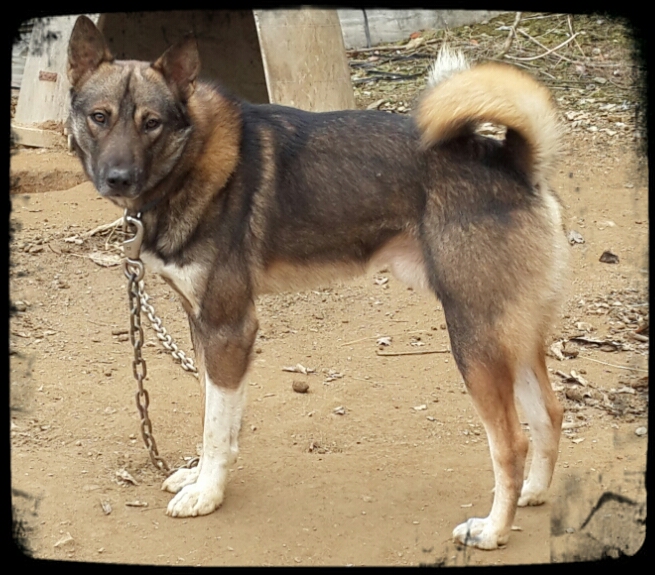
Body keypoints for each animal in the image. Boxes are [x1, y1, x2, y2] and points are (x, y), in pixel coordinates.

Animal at [67, 15, 568, 550]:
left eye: (151, 122)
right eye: (99, 117)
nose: (118, 178)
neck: (191, 157)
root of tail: (512, 163)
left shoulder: (228, 328)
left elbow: (216, 428)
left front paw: (207, 493)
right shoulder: (204, 328)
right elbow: (217, 416)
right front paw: (200, 476)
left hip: (474, 337)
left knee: (511, 442)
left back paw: (493, 529)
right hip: (512, 335)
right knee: (549, 413)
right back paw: (534, 493)